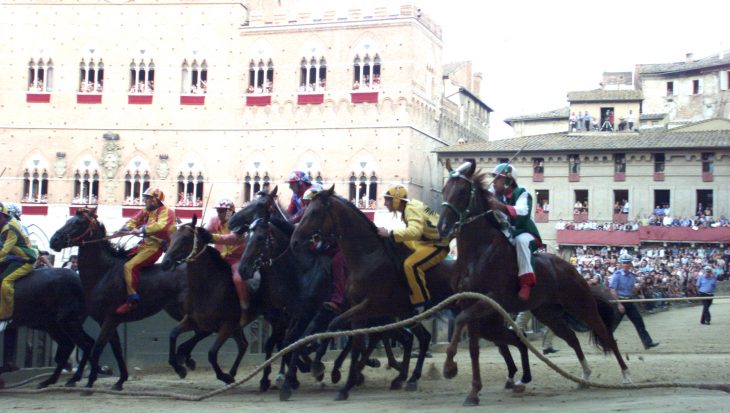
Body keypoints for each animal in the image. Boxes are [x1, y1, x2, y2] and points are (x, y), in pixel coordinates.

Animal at [290, 188, 536, 400]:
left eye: (314, 212)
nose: (295, 241)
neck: (368, 256)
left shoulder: (371, 306)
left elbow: (336, 327)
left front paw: (319, 366)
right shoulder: (360, 309)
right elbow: (352, 338)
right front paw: (344, 383)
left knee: (509, 340)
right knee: (432, 338)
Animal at [436, 160, 628, 406]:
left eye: (461, 191)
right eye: (444, 189)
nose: (442, 227)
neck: (478, 251)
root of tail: (571, 268)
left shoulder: (489, 300)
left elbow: (460, 322)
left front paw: (450, 367)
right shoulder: (469, 302)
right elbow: (473, 348)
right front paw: (474, 391)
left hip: (582, 306)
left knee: (606, 335)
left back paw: (625, 375)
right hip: (547, 313)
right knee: (572, 338)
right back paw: (584, 376)